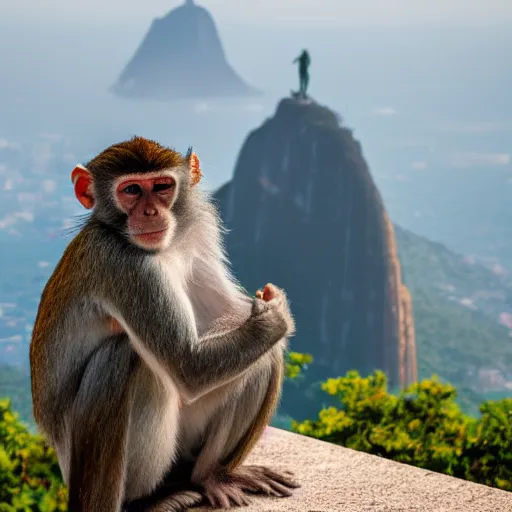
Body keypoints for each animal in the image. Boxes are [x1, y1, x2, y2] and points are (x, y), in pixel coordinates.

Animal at [29, 136, 300, 512]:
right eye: (130, 190)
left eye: (161, 187)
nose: (150, 213)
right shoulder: (125, 265)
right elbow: (188, 366)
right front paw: (276, 314)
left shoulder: (196, 232)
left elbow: (227, 316)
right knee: (123, 356)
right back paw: (149, 500)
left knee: (263, 356)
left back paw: (213, 476)